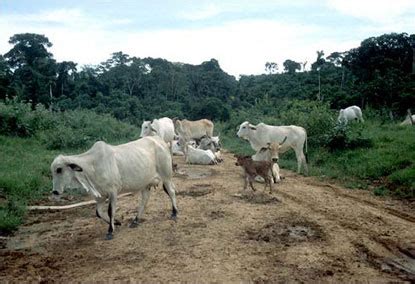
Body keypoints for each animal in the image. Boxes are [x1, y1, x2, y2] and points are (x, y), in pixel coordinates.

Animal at [50, 136, 179, 241]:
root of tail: (160, 140)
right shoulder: (100, 196)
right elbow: (98, 213)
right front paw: (116, 222)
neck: (92, 166)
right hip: (145, 183)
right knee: (145, 199)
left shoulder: (113, 192)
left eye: (59, 169)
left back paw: (174, 213)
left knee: (171, 191)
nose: (55, 191)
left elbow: (110, 210)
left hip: (166, 176)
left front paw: (110, 231)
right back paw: (136, 220)